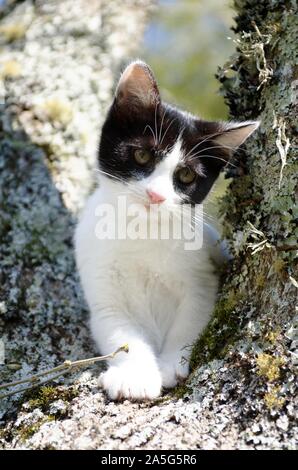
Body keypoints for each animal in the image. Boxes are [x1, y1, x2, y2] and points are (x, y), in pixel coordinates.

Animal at [75, 60, 258, 400]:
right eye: (142, 155)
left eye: (185, 176)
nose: (156, 195)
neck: (143, 231)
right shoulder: (101, 282)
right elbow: (120, 331)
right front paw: (135, 375)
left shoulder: (202, 274)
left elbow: (191, 319)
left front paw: (171, 363)